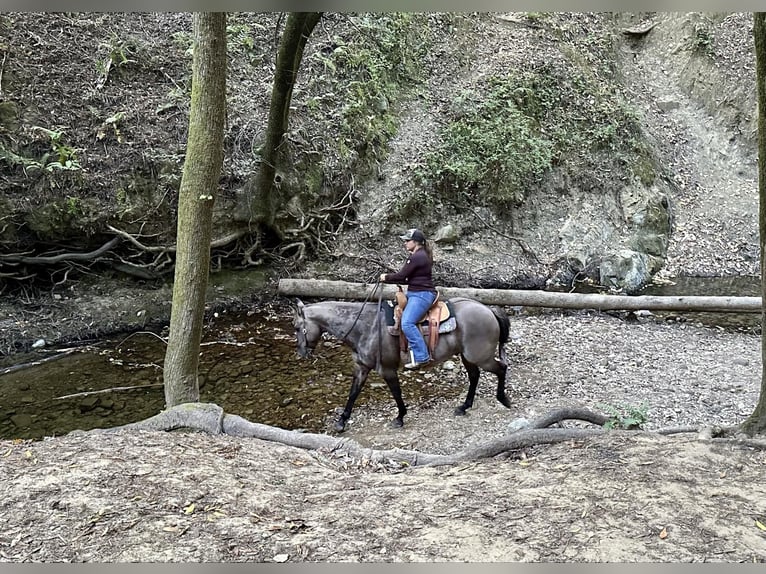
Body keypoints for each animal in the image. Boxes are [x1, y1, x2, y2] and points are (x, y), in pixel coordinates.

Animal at [293, 296, 512, 432]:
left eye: (296, 327)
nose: (301, 353)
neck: (366, 326)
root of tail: (488, 309)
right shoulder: (361, 367)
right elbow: (353, 393)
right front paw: (341, 422)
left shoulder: (387, 369)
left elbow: (396, 393)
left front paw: (399, 417)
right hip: (468, 356)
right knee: (474, 377)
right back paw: (464, 407)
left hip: (480, 356)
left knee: (501, 368)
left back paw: (503, 399)